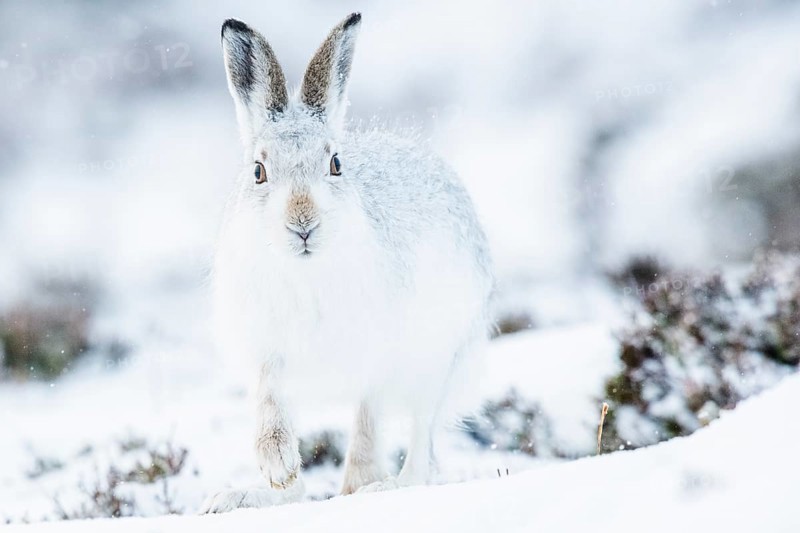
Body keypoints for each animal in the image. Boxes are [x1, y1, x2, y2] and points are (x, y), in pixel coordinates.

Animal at [201, 12, 493, 514]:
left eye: (336, 163)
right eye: (258, 171)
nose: (302, 223)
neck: (305, 272)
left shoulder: (378, 356)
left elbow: (368, 425)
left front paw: (360, 489)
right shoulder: (268, 353)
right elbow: (270, 401)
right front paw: (276, 465)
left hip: (436, 361)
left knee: (421, 450)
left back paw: (387, 487)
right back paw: (247, 496)